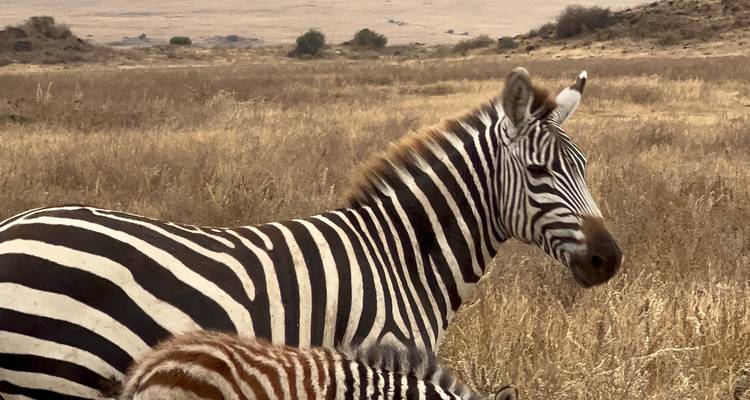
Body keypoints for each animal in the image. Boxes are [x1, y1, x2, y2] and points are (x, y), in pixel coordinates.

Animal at [0, 67, 622, 399]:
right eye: (539, 173)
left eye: (585, 166)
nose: (609, 259)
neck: (401, 259)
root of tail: (13, 226)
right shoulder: (375, 364)